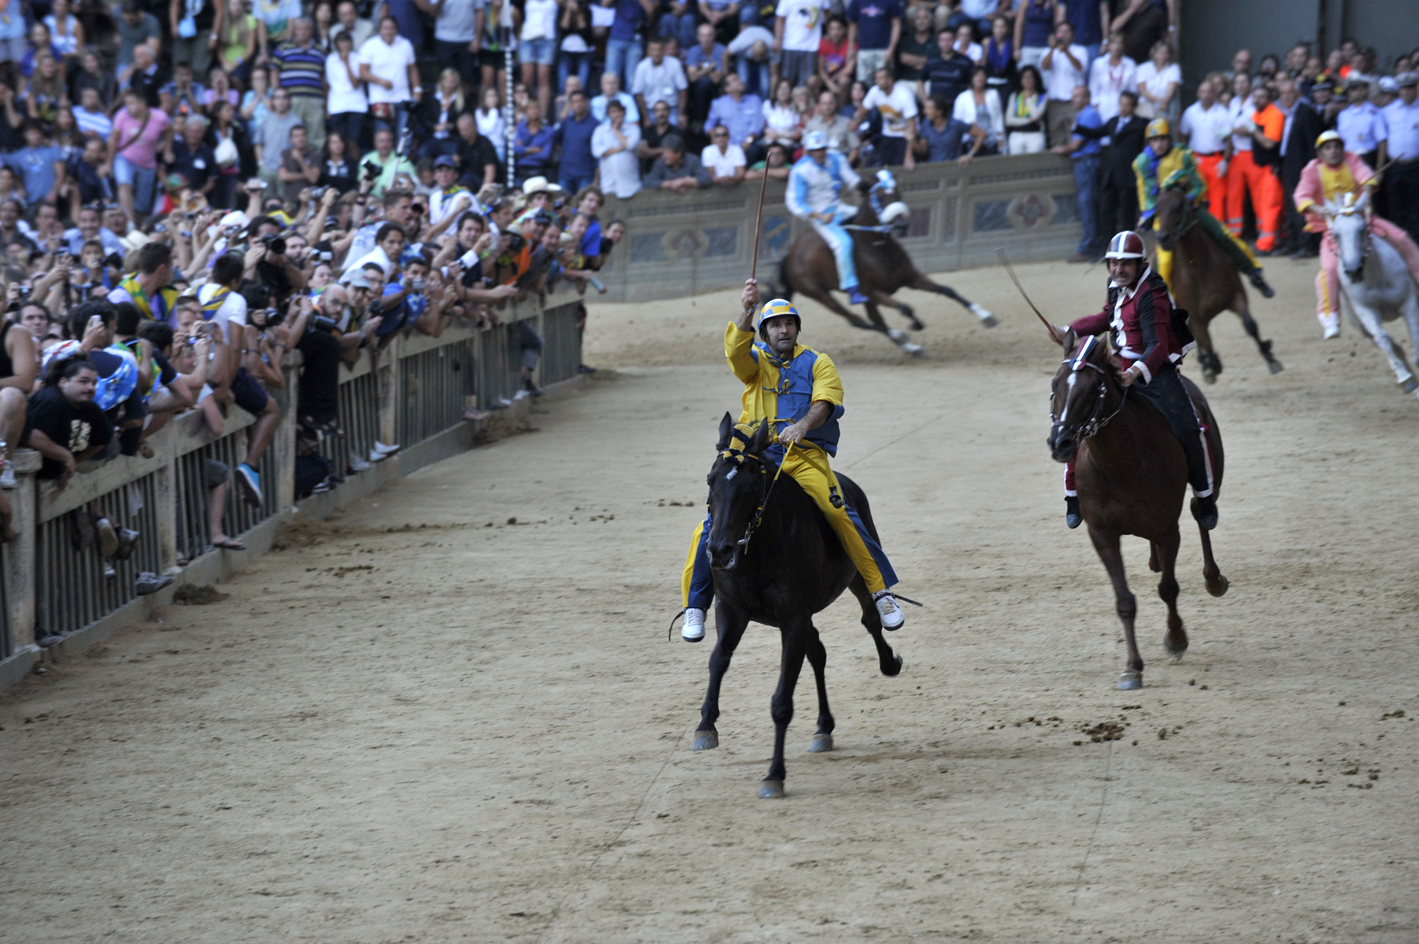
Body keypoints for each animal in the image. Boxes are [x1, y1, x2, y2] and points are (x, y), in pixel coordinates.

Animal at [692, 411, 902, 794]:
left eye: (749, 486)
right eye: (710, 480)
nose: (718, 550)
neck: (760, 547)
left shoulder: (792, 618)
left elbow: (781, 700)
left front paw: (775, 774)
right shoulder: (732, 608)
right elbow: (718, 659)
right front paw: (705, 726)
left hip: (856, 576)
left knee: (869, 616)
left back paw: (888, 658)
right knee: (817, 651)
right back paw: (823, 727)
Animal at [777, 171, 998, 352]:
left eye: (899, 194)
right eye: (882, 198)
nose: (902, 225)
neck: (876, 248)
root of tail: (790, 254)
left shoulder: (911, 277)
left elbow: (948, 290)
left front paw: (985, 315)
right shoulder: (872, 291)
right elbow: (905, 307)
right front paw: (915, 325)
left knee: (874, 318)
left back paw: (910, 347)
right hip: (819, 293)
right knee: (857, 320)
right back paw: (901, 338)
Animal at [1044, 327, 1231, 689]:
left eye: (1092, 389)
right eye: (1055, 385)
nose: (1060, 443)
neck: (1121, 462)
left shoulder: (1167, 528)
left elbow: (1169, 589)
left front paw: (1176, 639)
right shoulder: (1101, 534)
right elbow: (1124, 601)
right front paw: (1132, 668)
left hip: (1208, 473)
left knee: (1202, 512)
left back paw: (1213, 579)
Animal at [1152, 185, 1288, 380]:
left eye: (1178, 206)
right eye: (1157, 208)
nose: (1163, 237)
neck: (1198, 266)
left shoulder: (1236, 295)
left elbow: (1250, 325)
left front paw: (1271, 359)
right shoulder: (1195, 317)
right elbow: (1204, 342)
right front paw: (1210, 366)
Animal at [1328, 191, 1419, 397]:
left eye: (1362, 229)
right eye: (1336, 234)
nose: (1353, 271)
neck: (1377, 277)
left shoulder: (1409, 301)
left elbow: (1415, 332)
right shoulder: (1365, 310)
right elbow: (1382, 338)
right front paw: (1404, 378)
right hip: (1359, 325)